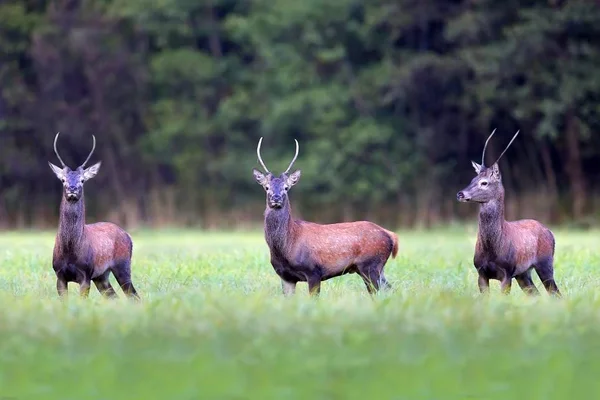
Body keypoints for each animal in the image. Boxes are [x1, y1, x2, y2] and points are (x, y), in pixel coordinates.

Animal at [48, 133, 140, 298]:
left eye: (82, 180)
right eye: (63, 179)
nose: (72, 189)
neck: (70, 251)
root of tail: (128, 236)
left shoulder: (86, 274)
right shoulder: (59, 275)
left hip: (122, 265)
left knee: (134, 295)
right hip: (102, 276)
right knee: (114, 296)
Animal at [252, 138, 398, 296]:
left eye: (286, 187)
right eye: (267, 187)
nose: (276, 198)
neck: (287, 247)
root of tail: (390, 235)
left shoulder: (314, 271)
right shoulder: (285, 277)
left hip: (370, 265)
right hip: (375, 268)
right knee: (389, 289)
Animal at [460, 129, 564, 296]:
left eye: (484, 183)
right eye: (472, 179)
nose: (460, 194)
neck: (493, 249)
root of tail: (550, 232)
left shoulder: (507, 271)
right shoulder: (481, 272)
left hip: (545, 262)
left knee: (555, 292)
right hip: (523, 273)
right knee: (535, 293)